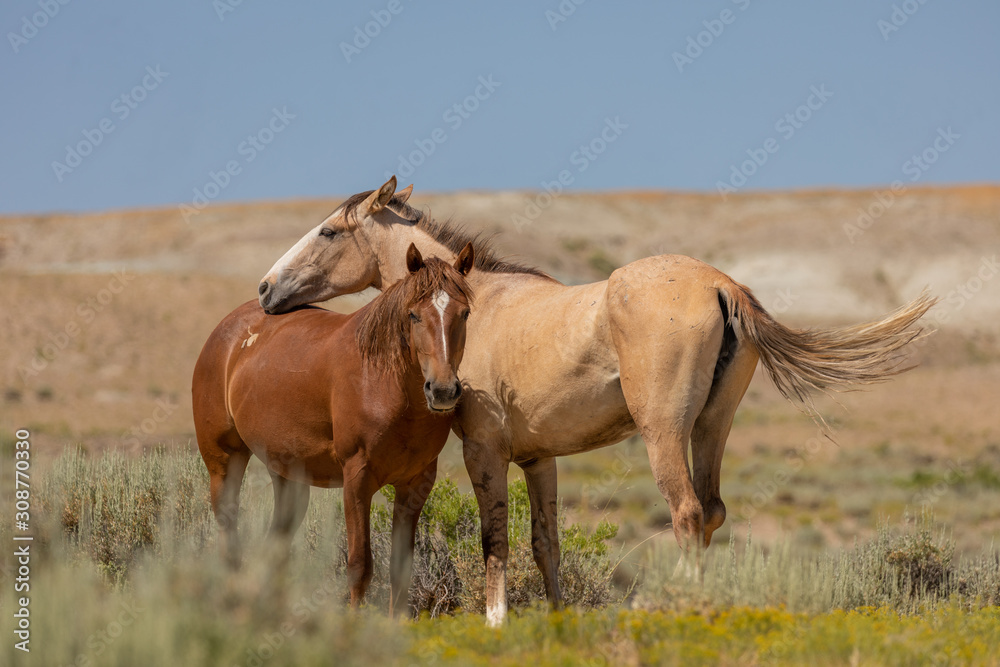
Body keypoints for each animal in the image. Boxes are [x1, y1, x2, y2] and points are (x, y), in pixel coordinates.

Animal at [193, 242, 475, 616]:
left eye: (464, 314)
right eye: (414, 315)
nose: (442, 390)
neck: (383, 379)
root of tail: (224, 332)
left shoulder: (416, 484)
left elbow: (401, 569)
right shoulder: (357, 479)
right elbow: (359, 565)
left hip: (287, 475)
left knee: (276, 545)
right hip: (224, 461)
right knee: (229, 536)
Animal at [256, 177, 935, 626]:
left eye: (328, 230)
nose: (265, 289)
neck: (474, 303)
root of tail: (721, 284)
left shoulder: (484, 451)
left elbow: (494, 535)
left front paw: (497, 620)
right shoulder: (539, 459)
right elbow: (545, 542)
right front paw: (556, 620)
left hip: (664, 434)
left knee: (687, 513)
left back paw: (681, 605)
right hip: (710, 429)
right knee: (712, 510)